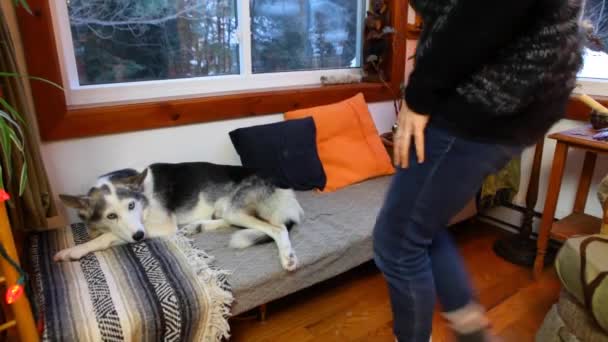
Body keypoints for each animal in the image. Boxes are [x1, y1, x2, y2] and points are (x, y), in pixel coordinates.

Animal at [57, 162, 304, 272]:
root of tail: (281, 187)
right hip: (228, 210)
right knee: (228, 220)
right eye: (111, 215)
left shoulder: (162, 227)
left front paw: (74, 250)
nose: (139, 237)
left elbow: (105, 238)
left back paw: (288, 258)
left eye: (131, 205)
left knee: (278, 228)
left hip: (237, 209)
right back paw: (197, 227)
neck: (144, 197)